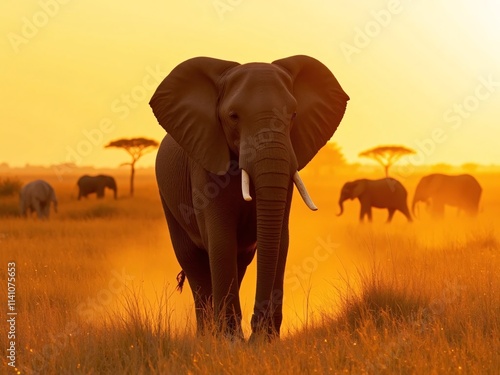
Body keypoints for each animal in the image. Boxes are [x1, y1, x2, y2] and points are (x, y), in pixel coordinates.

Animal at [150, 55, 350, 340]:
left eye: (293, 115)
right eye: (233, 117)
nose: (257, 328)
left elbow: (280, 239)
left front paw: (265, 340)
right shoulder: (205, 164)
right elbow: (221, 240)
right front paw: (231, 342)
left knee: (240, 261)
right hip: (166, 197)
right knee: (193, 262)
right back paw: (206, 336)